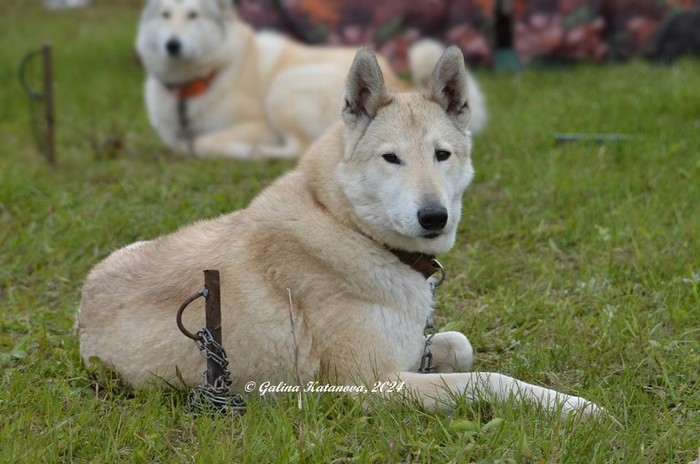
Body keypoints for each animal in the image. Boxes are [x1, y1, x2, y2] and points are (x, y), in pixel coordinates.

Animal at [78, 46, 597, 419]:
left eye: (442, 155)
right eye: (391, 158)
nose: (434, 217)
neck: (347, 224)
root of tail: (82, 311)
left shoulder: (412, 353)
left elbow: (462, 347)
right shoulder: (371, 385)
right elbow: (488, 380)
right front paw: (574, 407)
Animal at [135, 0, 487, 159]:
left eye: (193, 15)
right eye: (165, 15)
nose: (172, 45)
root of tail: (399, 83)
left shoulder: (257, 124)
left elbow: (197, 141)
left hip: (283, 88)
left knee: (297, 148)